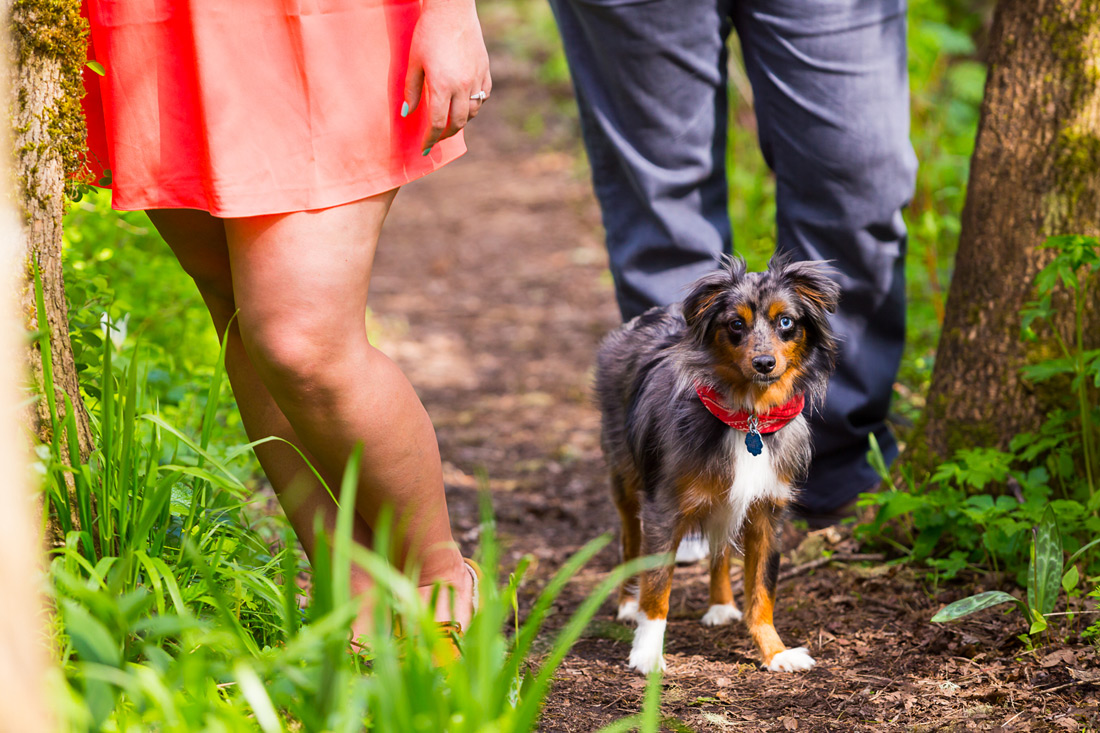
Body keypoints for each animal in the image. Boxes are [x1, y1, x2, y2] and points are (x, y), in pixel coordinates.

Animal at [598, 254, 836, 669]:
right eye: (735, 324)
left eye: (786, 322)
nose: (764, 363)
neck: (747, 416)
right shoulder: (664, 510)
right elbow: (657, 588)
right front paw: (647, 653)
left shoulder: (767, 513)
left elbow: (762, 591)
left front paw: (775, 652)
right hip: (625, 477)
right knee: (630, 537)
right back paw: (627, 603)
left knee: (719, 546)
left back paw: (721, 605)